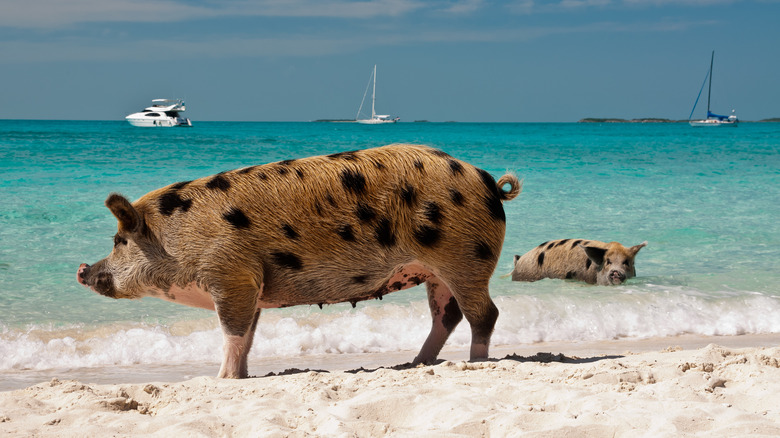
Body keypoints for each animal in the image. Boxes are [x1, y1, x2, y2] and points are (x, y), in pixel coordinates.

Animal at [76, 145, 520, 378]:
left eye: (118, 241)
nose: (82, 269)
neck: (177, 237)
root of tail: (487, 181)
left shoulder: (231, 275)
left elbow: (232, 333)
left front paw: (219, 379)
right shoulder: (252, 285)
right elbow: (248, 336)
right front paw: (240, 377)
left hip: (464, 258)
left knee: (486, 313)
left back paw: (477, 362)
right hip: (436, 270)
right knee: (448, 315)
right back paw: (416, 362)